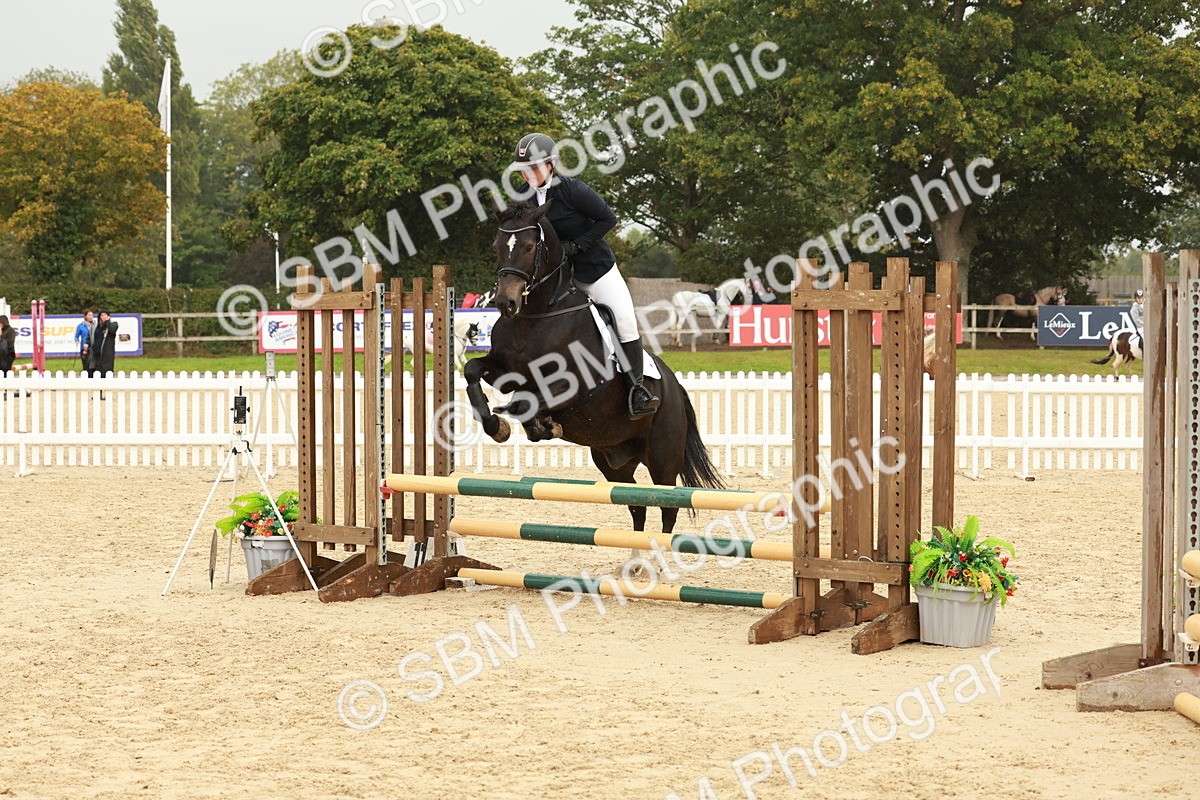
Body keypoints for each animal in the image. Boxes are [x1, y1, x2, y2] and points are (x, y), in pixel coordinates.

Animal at [463, 199, 724, 574]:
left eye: (528, 247)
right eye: (497, 247)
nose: (505, 303)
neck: (537, 315)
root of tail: (675, 388)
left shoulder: (575, 386)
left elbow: (528, 401)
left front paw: (539, 424)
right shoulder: (503, 370)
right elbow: (473, 370)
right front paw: (497, 426)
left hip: (663, 458)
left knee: (666, 506)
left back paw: (659, 565)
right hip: (613, 461)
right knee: (637, 503)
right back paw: (634, 563)